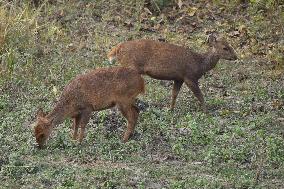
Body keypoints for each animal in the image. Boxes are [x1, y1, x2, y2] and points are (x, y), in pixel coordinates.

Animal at [107, 34, 239, 111]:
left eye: (230, 44)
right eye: (225, 48)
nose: (235, 56)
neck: (199, 64)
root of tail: (117, 48)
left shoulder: (179, 78)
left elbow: (174, 94)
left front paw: (170, 110)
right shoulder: (189, 77)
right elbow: (200, 96)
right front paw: (206, 112)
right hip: (131, 66)